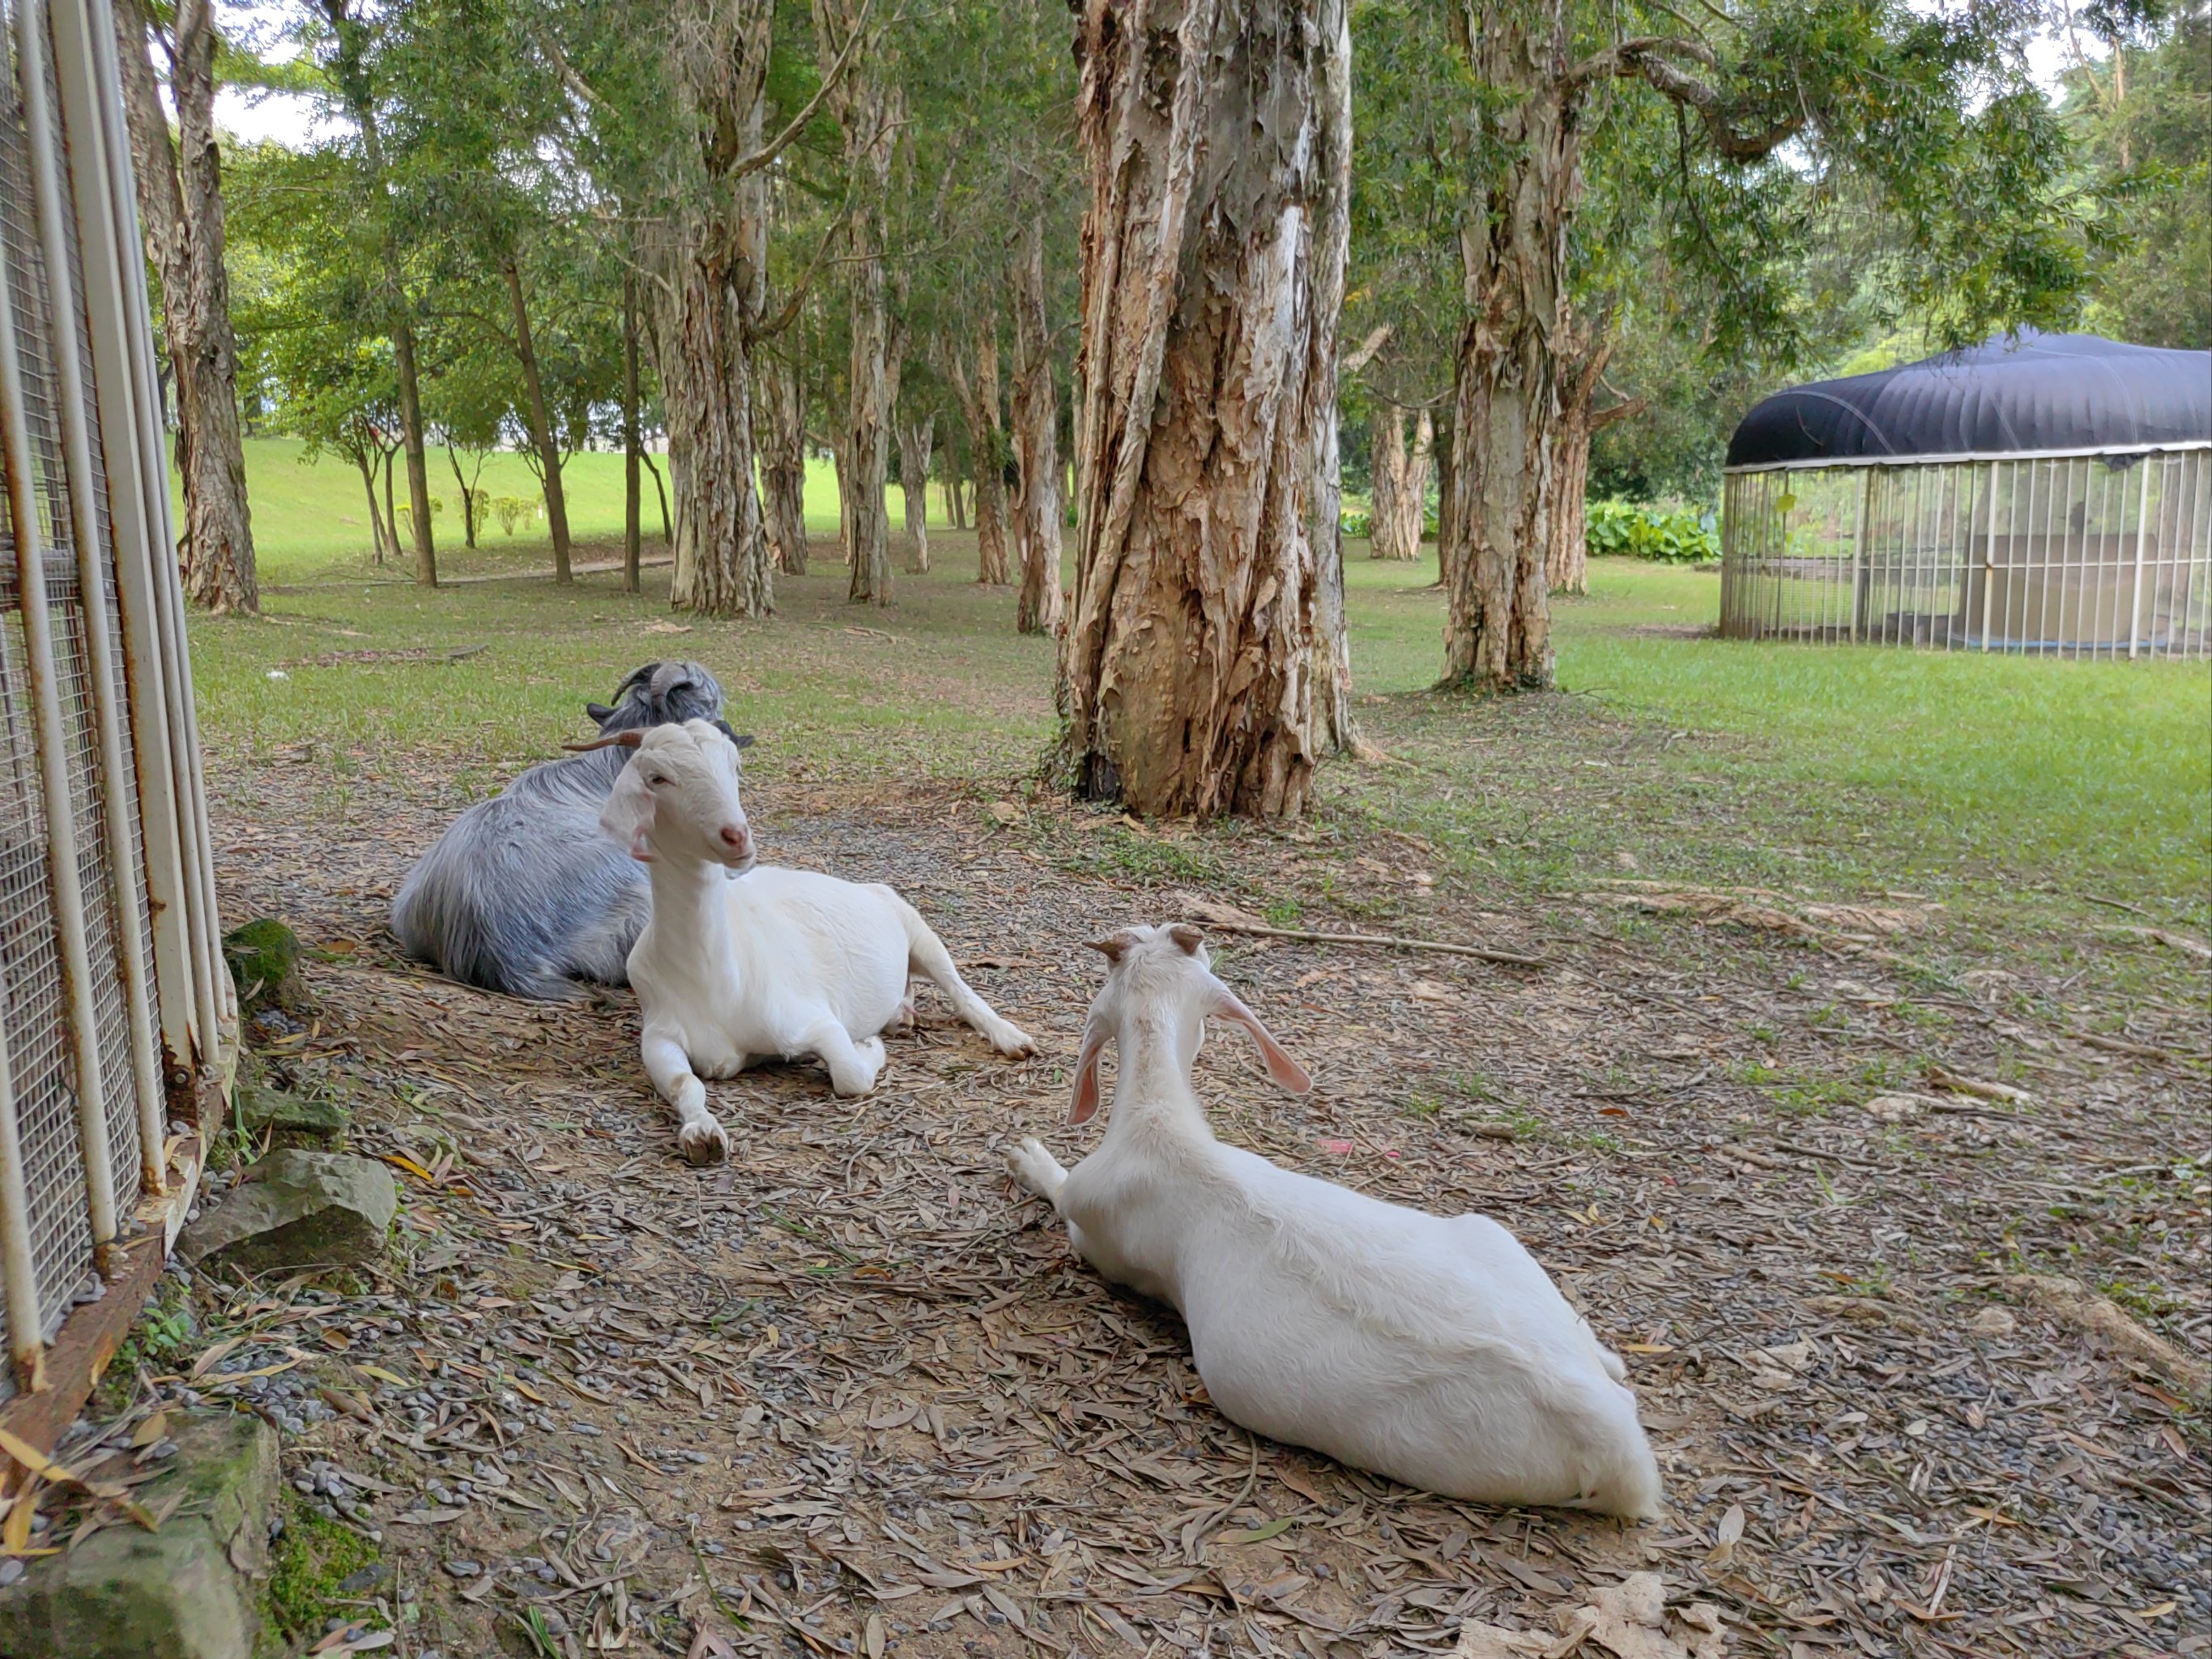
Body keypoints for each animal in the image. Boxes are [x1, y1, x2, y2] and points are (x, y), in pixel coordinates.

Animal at [583, 721, 1039, 1158]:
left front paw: (869, 1045)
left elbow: (851, 1074)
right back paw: (901, 1017)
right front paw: (703, 1133)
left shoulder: (813, 1020)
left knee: (963, 992)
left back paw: (1012, 1038)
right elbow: (684, 1083)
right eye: (658, 778)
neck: (714, 978)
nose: (737, 836)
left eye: (736, 766)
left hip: (919, 933)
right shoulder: (659, 1037)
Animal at [1004, 928, 1663, 1530]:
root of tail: (1624, 1456)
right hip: (1491, 1235)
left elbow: (1063, 1195)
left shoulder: (1097, 1235)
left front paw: (1028, 1156)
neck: (1158, 1122)